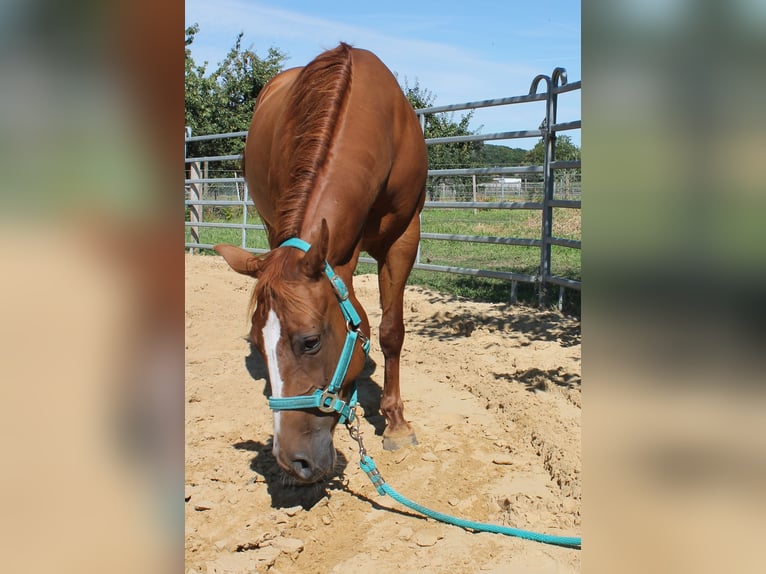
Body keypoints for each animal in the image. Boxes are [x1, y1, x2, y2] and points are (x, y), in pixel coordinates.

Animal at [214, 43, 427, 484]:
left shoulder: (404, 237)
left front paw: (397, 424)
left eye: (310, 341)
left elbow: (391, 331)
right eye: (258, 343)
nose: (292, 462)